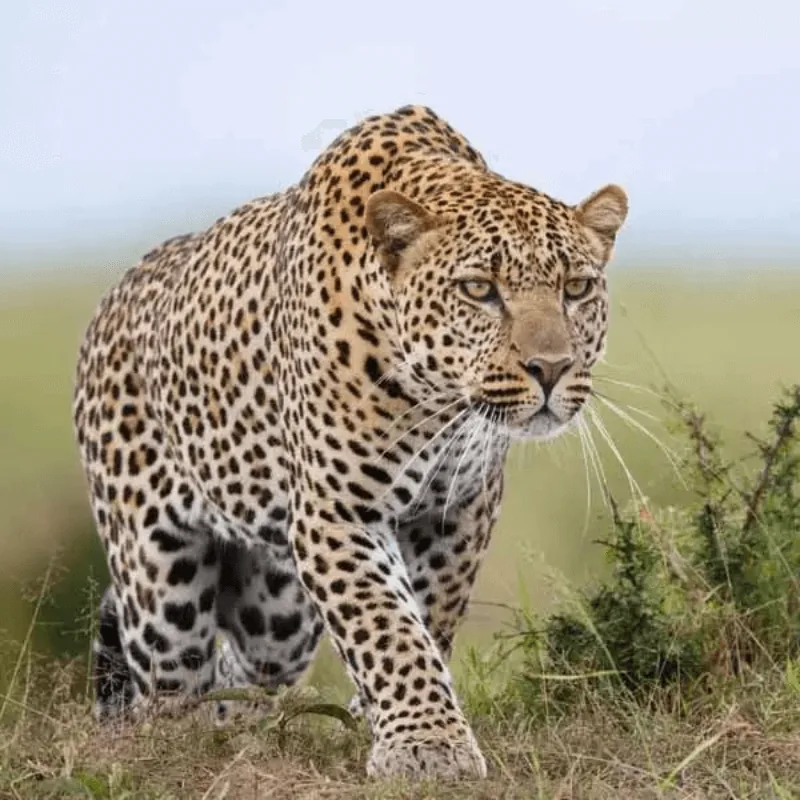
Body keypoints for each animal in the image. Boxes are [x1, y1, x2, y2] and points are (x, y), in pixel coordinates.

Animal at [72, 104, 628, 780]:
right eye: (479, 290)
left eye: (576, 288)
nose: (551, 368)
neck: (436, 400)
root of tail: (114, 296)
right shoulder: (338, 514)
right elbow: (386, 625)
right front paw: (427, 744)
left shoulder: (459, 512)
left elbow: (427, 618)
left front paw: (383, 721)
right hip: (160, 587)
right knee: (169, 689)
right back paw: (184, 748)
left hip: (276, 612)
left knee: (242, 672)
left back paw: (245, 735)